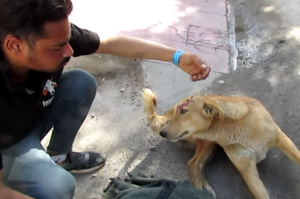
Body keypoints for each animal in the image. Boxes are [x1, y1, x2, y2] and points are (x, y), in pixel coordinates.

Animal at [142, 88, 300, 199]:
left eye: (184, 111)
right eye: (178, 112)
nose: (162, 133)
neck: (234, 128)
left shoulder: (281, 138)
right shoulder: (247, 169)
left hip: (212, 147)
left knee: (198, 165)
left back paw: (206, 188)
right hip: (208, 144)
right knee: (194, 164)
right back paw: (199, 192)